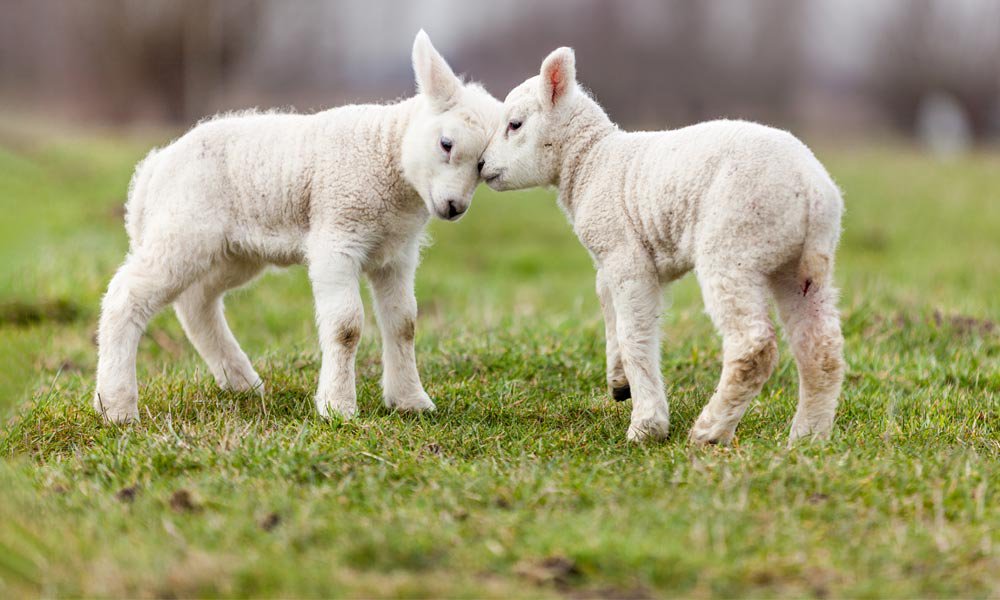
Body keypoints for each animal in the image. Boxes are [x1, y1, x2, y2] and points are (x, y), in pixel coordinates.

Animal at [94, 30, 500, 424]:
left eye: (482, 166)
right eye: (446, 144)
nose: (454, 207)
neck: (386, 153)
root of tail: (153, 169)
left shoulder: (396, 254)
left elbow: (404, 323)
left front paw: (410, 401)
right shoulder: (337, 236)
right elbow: (346, 326)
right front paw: (338, 407)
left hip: (233, 252)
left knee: (197, 302)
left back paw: (242, 382)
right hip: (183, 229)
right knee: (126, 296)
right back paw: (116, 406)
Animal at [480, 47, 848, 442]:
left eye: (514, 124)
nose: (482, 164)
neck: (591, 161)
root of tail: (812, 188)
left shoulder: (626, 256)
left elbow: (634, 335)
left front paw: (647, 425)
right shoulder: (612, 257)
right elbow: (608, 308)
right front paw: (619, 382)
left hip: (734, 244)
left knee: (753, 347)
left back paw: (709, 431)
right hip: (796, 265)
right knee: (821, 348)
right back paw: (807, 437)